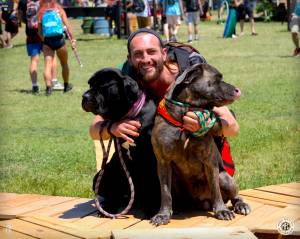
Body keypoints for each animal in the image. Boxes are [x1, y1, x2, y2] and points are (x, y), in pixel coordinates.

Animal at [82, 68, 161, 218]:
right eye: (90, 84)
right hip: (99, 175)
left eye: (103, 86)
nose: (85, 96)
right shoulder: (119, 159)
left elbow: (154, 185)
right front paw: (110, 208)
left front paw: (153, 209)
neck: (132, 115)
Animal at [150, 63, 251, 226]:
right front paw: (163, 214)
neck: (185, 113)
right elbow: (165, 193)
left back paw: (240, 205)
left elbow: (215, 189)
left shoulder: (210, 162)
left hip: (225, 178)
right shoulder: (163, 163)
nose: (237, 90)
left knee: (234, 195)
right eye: (217, 78)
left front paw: (221, 211)